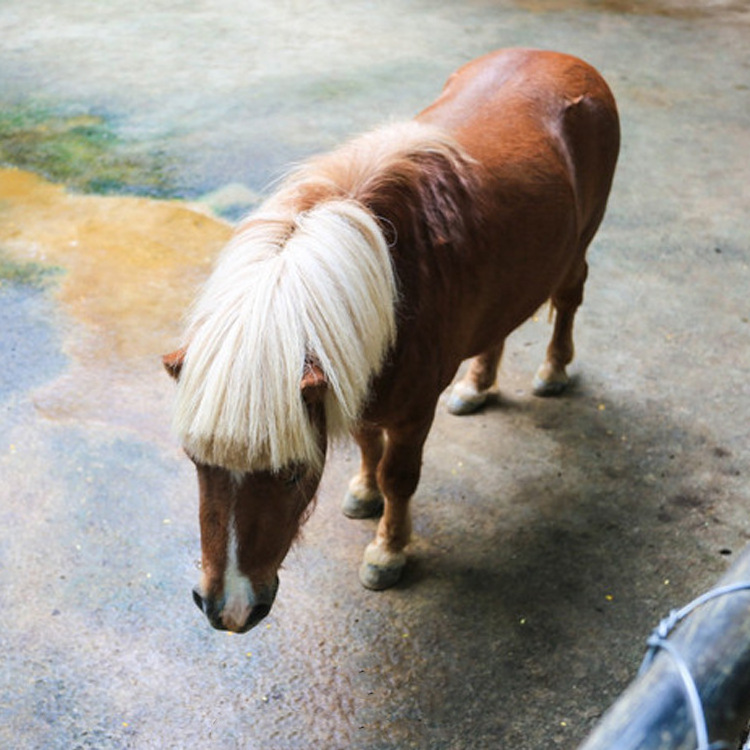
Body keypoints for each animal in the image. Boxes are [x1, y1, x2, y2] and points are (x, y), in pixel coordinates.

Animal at [164, 47, 624, 636]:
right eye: (197, 461)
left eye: (291, 473)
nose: (228, 610)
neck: (393, 274)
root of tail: (566, 60)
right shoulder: (352, 382)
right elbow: (366, 444)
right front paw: (364, 493)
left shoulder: (411, 412)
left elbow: (399, 476)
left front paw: (389, 551)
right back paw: (477, 386)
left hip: (578, 245)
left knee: (568, 297)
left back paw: (553, 371)